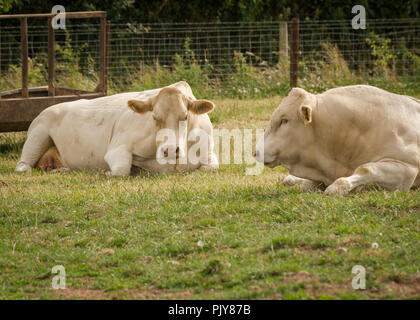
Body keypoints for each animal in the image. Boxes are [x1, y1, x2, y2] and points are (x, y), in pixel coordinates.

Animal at [14, 80, 218, 175]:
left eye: (185, 116)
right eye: (154, 117)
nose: (169, 150)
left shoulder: (209, 152)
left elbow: (211, 167)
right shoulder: (118, 147)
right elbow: (122, 169)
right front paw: (106, 172)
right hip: (38, 133)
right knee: (22, 165)